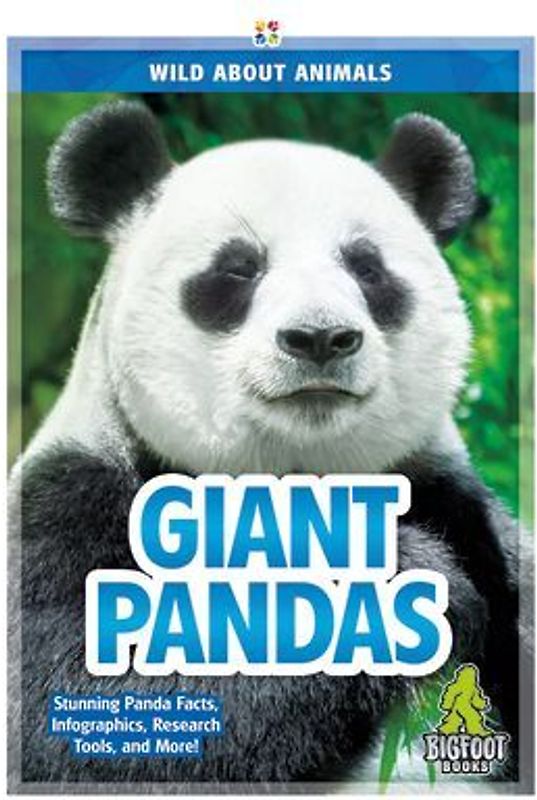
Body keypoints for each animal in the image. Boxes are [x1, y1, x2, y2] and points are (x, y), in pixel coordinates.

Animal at [10, 101, 528, 787]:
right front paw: (397, 583)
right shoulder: (68, 507)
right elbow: (91, 712)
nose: (321, 338)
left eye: (367, 268)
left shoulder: (458, 507)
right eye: (238, 267)